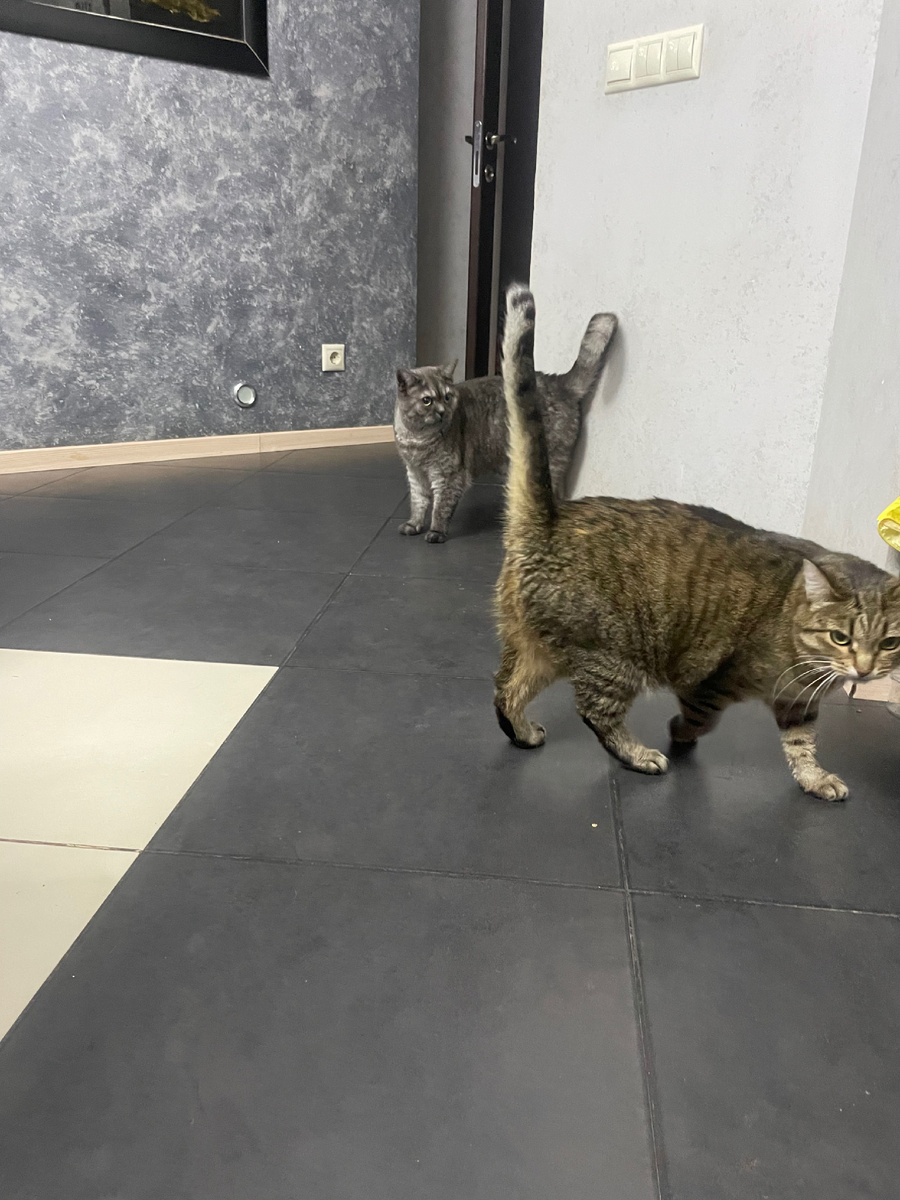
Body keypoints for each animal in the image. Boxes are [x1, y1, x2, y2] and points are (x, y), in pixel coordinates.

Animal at [393, 310, 617, 542]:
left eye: (447, 397)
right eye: (427, 400)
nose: (442, 411)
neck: (417, 438)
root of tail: (560, 382)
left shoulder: (449, 476)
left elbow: (440, 508)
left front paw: (436, 532)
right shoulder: (415, 474)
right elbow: (418, 503)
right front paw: (414, 524)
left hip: (550, 463)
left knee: (557, 498)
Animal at [494, 284, 900, 801]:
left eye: (889, 643)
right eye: (841, 637)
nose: (865, 671)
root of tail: (549, 516)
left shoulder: (798, 704)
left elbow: (802, 745)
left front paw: (814, 777)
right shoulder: (712, 683)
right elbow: (700, 720)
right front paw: (679, 735)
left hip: (541, 649)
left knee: (505, 689)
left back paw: (523, 732)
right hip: (612, 656)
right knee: (592, 711)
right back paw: (638, 753)